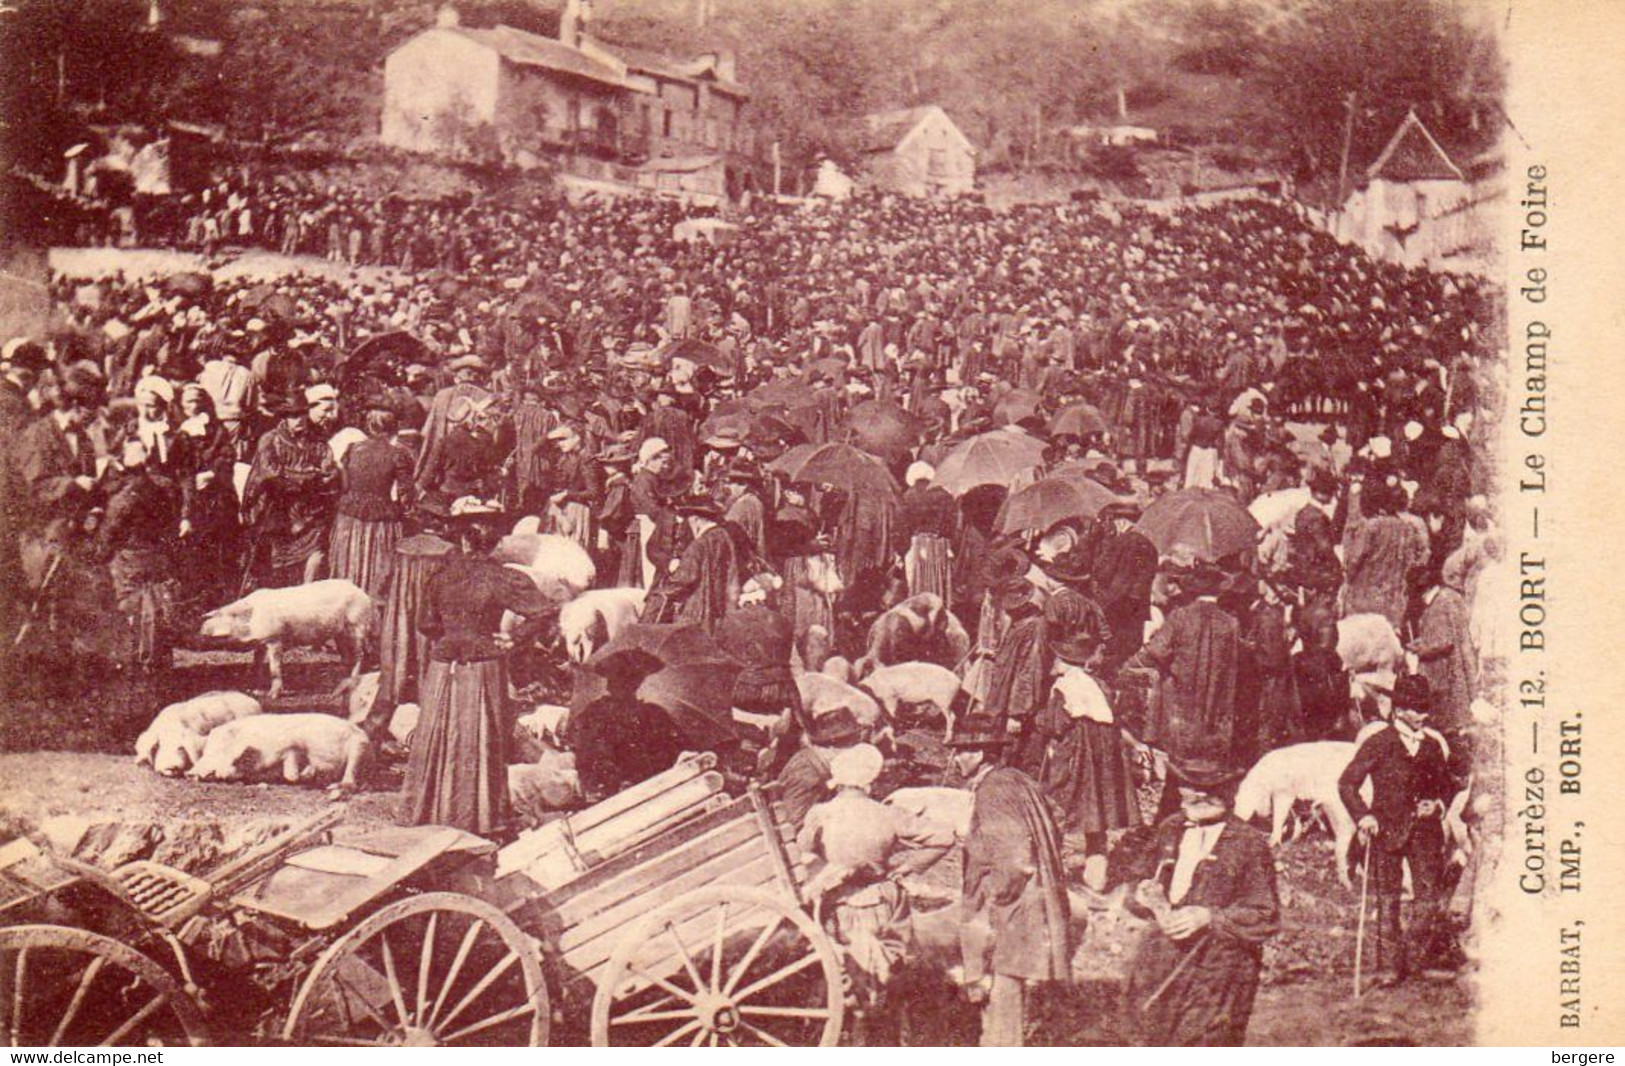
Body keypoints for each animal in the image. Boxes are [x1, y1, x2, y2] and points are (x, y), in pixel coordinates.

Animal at [186, 708, 372, 789]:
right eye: (206, 751)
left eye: (219, 751)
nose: (188, 773)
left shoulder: (292, 746)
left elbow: (291, 768)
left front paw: (295, 778)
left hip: (358, 747)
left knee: (351, 775)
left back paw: (335, 786)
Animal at [198, 578, 375, 705]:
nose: (201, 631)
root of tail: (361, 592)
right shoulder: (261, 643)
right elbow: (256, 664)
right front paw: (254, 691)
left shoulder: (275, 639)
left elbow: (274, 668)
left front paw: (272, 696)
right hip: (340, 635)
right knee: (347, 657)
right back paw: (337, 689)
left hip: (357, 626)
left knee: (359, 655)